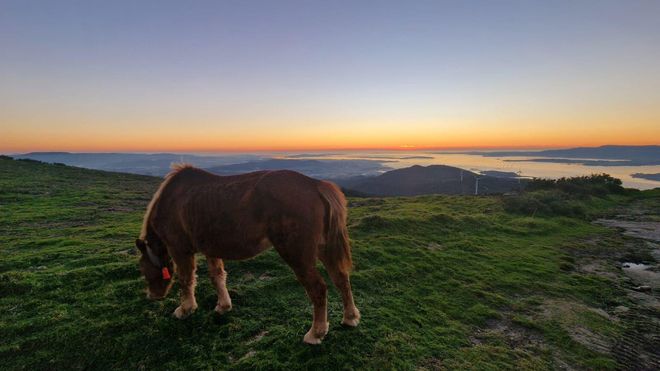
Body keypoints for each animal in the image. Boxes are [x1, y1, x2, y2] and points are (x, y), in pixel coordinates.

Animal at [135, 164, 360, 344]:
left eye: (144, 270)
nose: (152, 296)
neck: (171, 201)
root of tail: (316, 186)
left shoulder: (180, 249)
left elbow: (186, 280)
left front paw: (185, 309)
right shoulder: (211, 249)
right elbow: (217, 277)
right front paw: (223, 306)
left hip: (297, 255)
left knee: (318, 289)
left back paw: (316, 333)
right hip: (324, 248)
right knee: (341, 278)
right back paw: (350, 317)